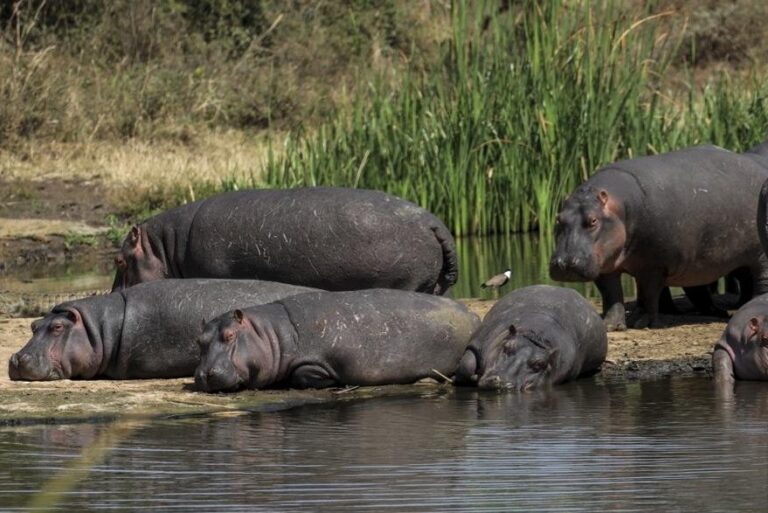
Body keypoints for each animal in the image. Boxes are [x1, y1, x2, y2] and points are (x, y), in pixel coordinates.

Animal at [194, 289, 480, 392]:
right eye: (199, 341)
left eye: (230, 335)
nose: (204, 374)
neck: (270, 334)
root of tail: (473, 314)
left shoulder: (315, 362)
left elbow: (303, 376)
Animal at [454, 285, 607, 390]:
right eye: (507, 347)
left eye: (540, 364)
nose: (502, 382)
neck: (536, 337)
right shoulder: (479, 342)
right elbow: (467, 364)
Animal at [550, 143, 768, 331]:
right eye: (558, 218)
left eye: (593, 220)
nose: (564, 263)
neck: (620, 208)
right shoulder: (605, 264)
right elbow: (611, 295)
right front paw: (610, 325)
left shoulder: (653, 266)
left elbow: (648, 293)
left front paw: (641, 322)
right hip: (700, 263)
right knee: (704, 289)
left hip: (758, 255)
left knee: (760, 279)